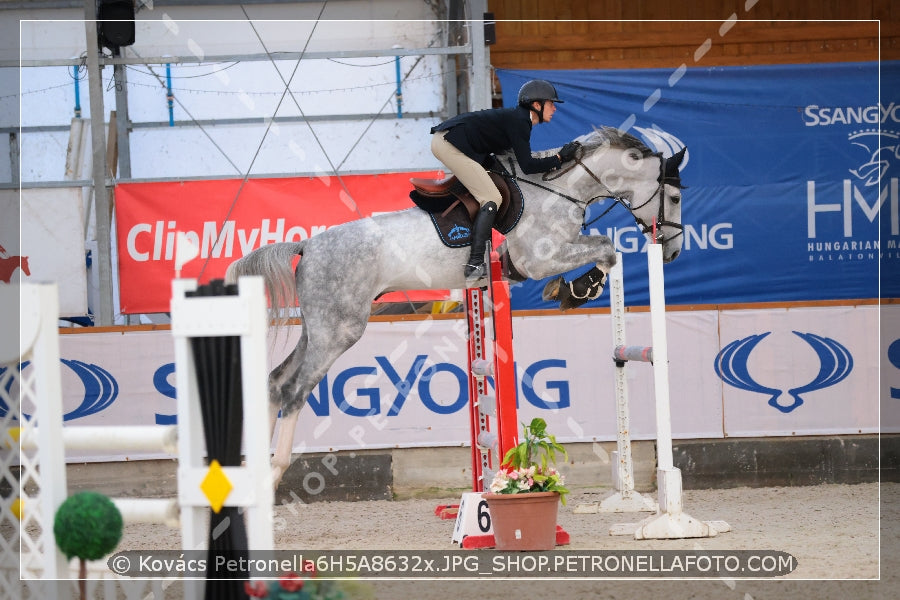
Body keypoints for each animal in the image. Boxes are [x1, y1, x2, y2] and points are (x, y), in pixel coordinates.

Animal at [229, 126, 684, 488]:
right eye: (677, 197)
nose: (673, 252)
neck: (560, 190)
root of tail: (307, 245)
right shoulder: (536, 260)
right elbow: (607, 250)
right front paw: (579, 288)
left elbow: (603, 248)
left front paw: (574, 290)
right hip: (340, 331)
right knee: (294, 390)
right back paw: (275, 471)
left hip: (317, 327)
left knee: (274, 381)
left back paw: (257, 473)